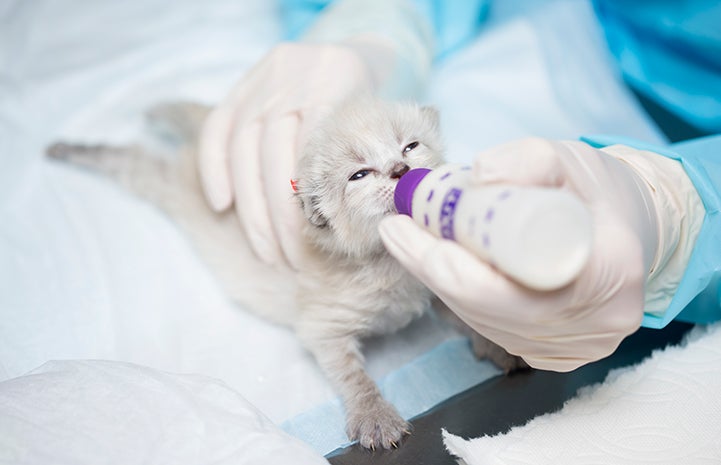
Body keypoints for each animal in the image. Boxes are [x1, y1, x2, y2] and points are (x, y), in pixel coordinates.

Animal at [47, 95, 524, 450]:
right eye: (359, 174)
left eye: (410, 146)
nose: (402, 170)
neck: (383, 259)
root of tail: (202, 158)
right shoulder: (322, 327)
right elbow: (352, 373)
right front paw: (374, 416)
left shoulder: (430, 280)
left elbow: (464, 313)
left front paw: (500, 341)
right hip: (166, 185)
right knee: (135, 163)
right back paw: (72, 148)